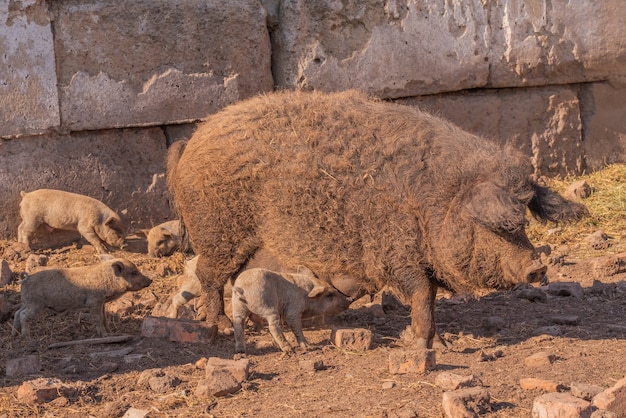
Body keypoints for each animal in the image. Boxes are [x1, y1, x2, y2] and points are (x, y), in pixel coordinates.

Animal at [13, 256, 151, 338]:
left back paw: (15, 334)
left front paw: (111, 333)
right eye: (133, 272)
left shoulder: (102, 302)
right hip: (35, 304)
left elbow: (105, 318)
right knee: (23, 315)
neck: (108, 279)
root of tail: (26, 279)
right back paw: (26, 337)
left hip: (27, 302)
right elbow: (98, 318)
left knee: (17, 312)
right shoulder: (94, 301)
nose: (150, 280)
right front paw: (105, 336)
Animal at [168, 89, 588, 350]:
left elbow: (429, 299)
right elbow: (421, 294)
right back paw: (221, 327)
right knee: (209, 277)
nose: (538, 267)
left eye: (523, 222)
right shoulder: (396, 255)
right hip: (217, 232)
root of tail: (190, 141)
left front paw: (440, 342)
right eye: (493, 226)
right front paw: (423, 344)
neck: (434, 202)